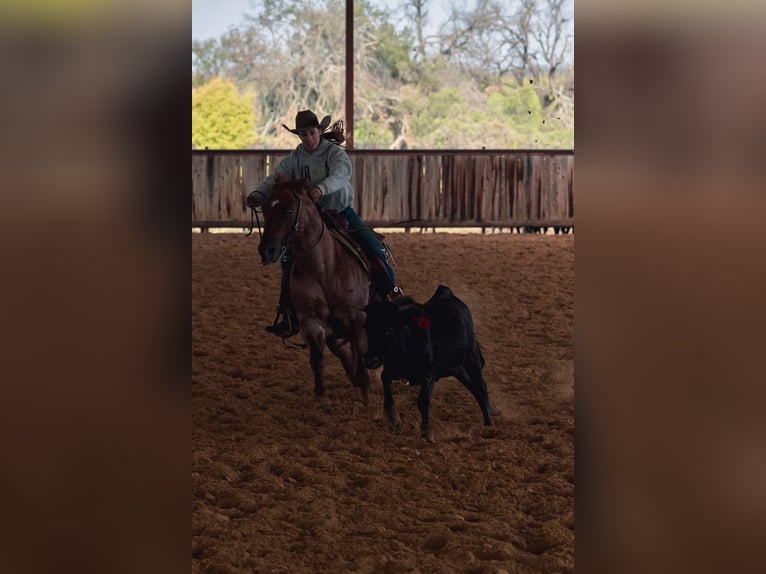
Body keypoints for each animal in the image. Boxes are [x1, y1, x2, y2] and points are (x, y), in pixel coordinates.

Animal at [258, 178, 376, 408]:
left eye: (289, 210)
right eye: (265, 209)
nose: (266, 251)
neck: (323, 268)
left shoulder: (358, 319)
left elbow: (362, 355)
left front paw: (368, 401)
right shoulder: (310, 320)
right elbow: (317, 357)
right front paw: (322, 396)